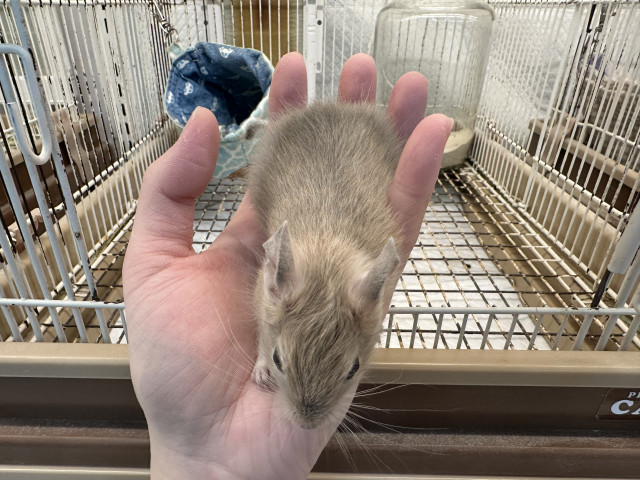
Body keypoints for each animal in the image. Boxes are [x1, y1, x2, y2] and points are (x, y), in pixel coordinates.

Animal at [247, 102, 403, 429]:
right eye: (278, 359)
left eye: (354, 369)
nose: (307, 425)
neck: (328, 259)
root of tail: (326, 106)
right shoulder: (260, 308)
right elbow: (260, 340)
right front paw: (261, 374)